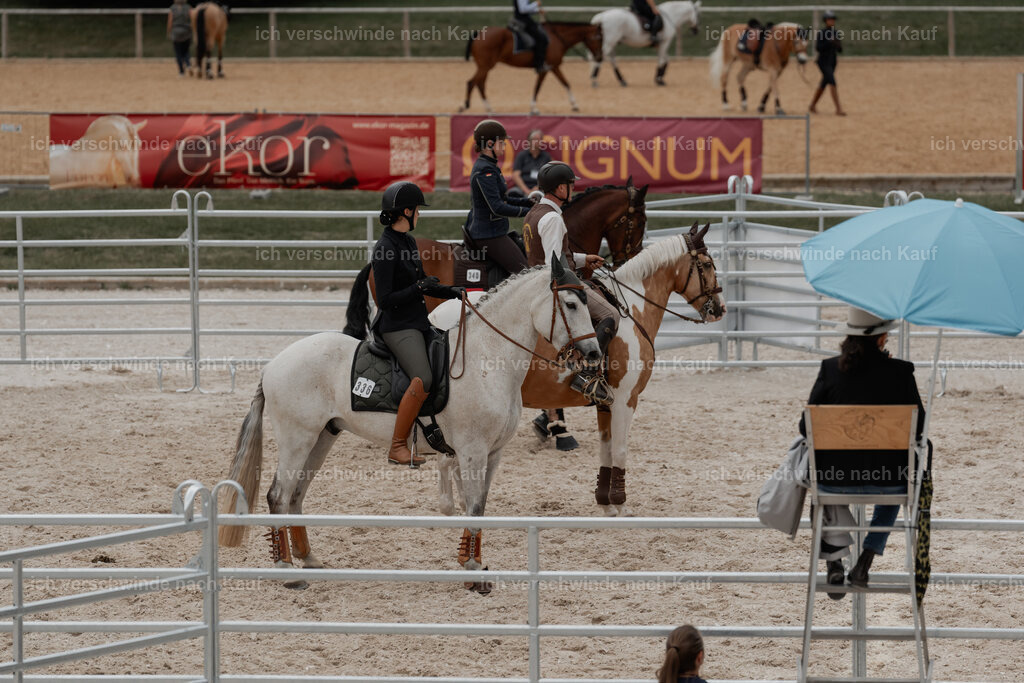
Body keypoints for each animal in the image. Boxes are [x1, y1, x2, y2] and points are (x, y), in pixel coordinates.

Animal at [218, 258, 601, 593]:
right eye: (570, 304)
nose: (595, 354)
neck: (487, 359)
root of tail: (273, 365)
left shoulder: (492, 453)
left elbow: (479, 506)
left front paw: (471, 564)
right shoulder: (472, 451)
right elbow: (474, 506)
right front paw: (473, 571)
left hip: (322, 437)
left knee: (296, 495)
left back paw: (309, 559)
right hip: (297, 438)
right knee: (279, 495)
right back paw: (287, 570)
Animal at [431, 223, 725, 516]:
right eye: (707, 264)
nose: (719, 309)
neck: (632, 309)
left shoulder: (606, 405)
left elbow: (606, 451)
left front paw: (606, 504)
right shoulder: (626, 400)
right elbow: (620, 451)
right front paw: (621, 505)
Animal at [459, 21, 604, 115]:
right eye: (599, 38)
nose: (600, 57)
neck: (556, 38)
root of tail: (479, 33)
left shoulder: (554, 67)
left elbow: (566, 83)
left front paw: (574, 105)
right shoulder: (546, 69)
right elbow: (538, 87)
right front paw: (534, 108)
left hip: (486, 67)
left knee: (480, 84)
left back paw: (489, 108)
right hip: (485, 66)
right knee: (472, 82)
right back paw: (464, 106)